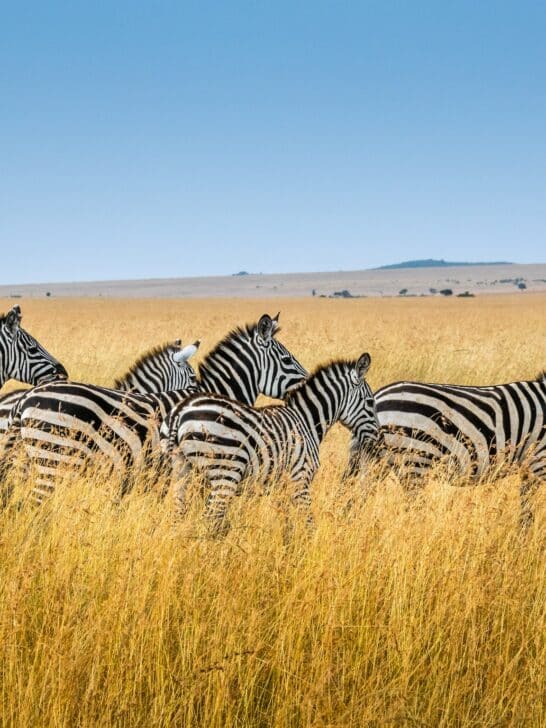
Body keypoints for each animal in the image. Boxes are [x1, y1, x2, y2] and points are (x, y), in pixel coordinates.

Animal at [162, 353, 378, 537]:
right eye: (369, 402)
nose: (378, 438)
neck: (307, 421)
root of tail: (181, 411)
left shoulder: (282, 485)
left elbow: (287, 524)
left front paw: (287, 549)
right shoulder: (300, 478)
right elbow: (308, 522)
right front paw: (309, 547)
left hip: (182, 469)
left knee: (179, 515)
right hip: (225, 473)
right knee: (210, 518)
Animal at [345, 373, 546, 525]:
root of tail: (377, 398)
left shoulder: (530, 466)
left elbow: (526, 508)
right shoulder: (538, 463)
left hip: (375, 462)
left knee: (355, 500)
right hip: (415, 463)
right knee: (414, 511)